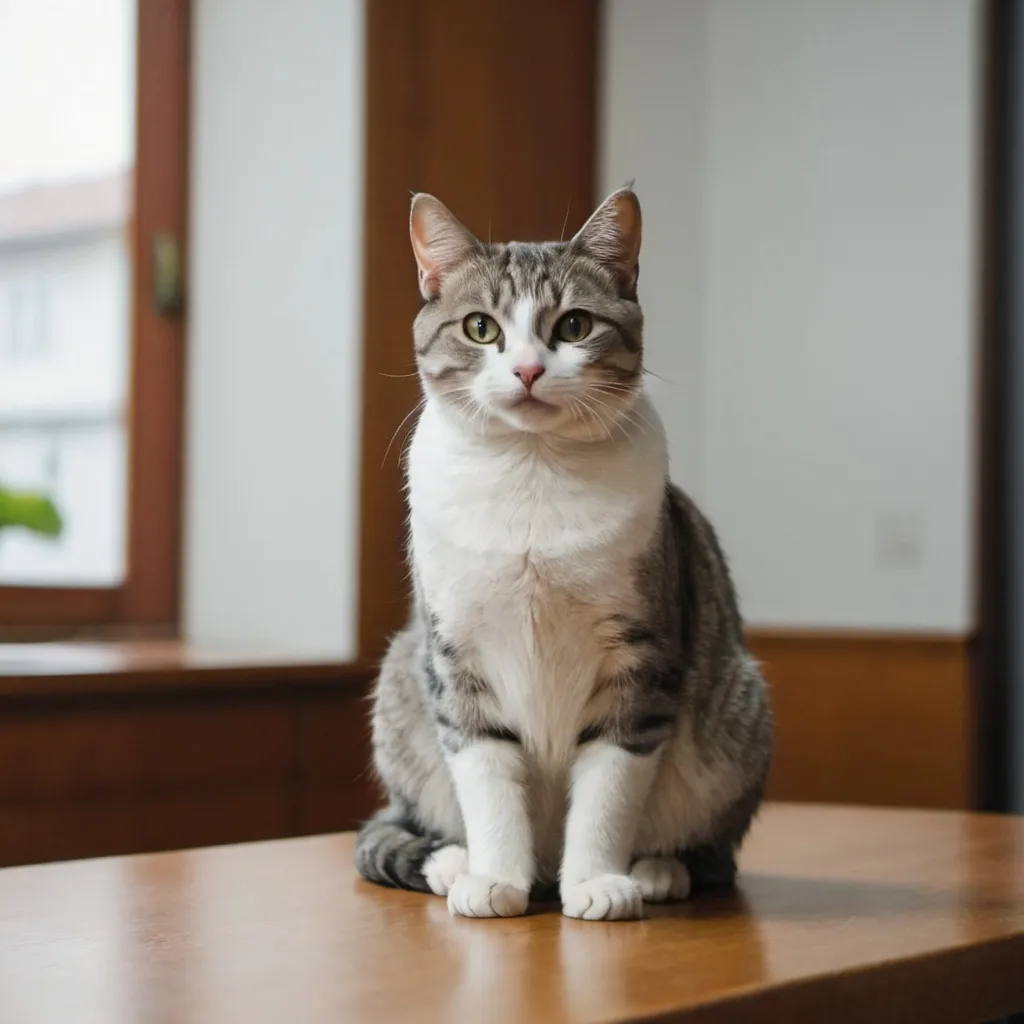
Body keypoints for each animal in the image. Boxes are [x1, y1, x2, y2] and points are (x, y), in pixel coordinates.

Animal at [356, 188, 770, 925]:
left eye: (574, 325)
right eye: (481, 328)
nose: (527, 370)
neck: (532, 468)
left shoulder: (640, 662)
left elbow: (609, 789)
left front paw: (599, 882)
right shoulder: (456, 661)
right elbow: (487, 781)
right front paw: (494, 879)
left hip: (736, 714)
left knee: (713, 851)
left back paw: (657, 870)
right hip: (403, 676)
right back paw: (455, 863)